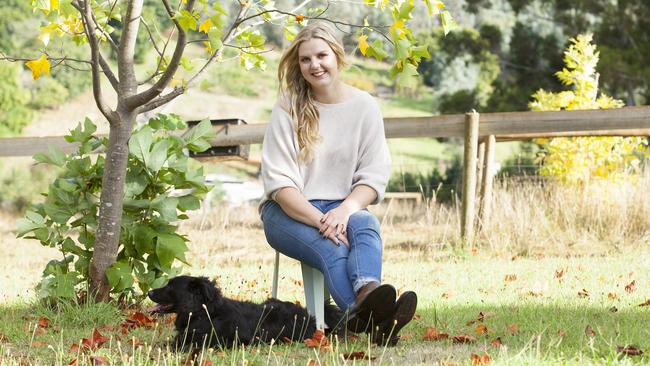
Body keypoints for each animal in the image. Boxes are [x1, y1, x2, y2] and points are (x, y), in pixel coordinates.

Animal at [146, 276, 340, 350]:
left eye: (170, 286)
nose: (149, 292)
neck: (204, 312)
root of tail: (310, 318)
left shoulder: (196, 343)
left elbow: (168, 345)